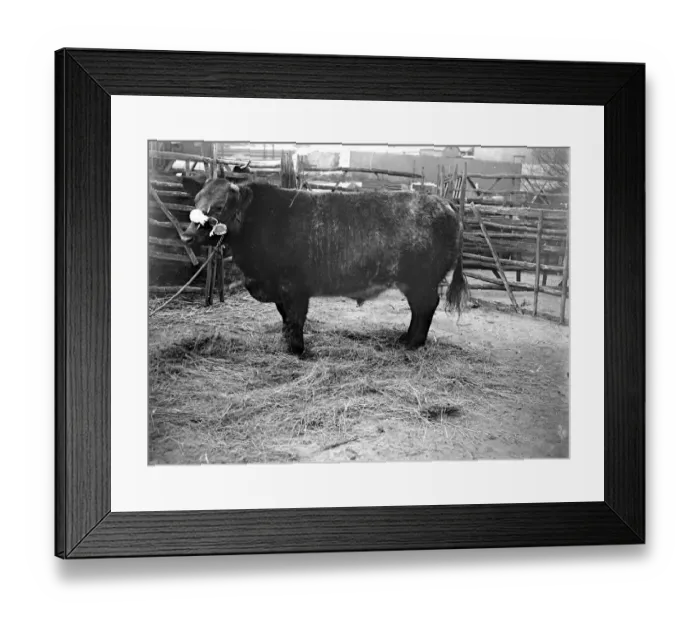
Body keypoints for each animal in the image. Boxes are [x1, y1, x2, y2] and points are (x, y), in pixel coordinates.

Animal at [179, 176, 468, 356]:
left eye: (219, 206)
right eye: (195, 201)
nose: (187, 236)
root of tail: (443, 202)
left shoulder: (294, 287)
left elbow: (295, 319)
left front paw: (297, 350)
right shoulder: (280, 290)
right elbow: (285, 318)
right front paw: (286, 343)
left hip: (421, 281)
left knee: (425, 307)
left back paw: (413, 344)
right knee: (419, 310)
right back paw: (405, 339)